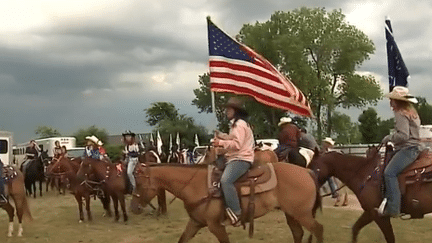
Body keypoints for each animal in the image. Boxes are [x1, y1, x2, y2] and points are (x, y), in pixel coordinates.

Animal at [130, 146, 322, 243]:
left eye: (138, 182)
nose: (133, 208)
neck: (196, 185)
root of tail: (307, 172)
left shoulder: (216, 226)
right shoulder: (195, 223)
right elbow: (182, 240)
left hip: (302, 214)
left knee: (318, 229)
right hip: (291, 213)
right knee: (298, 233)